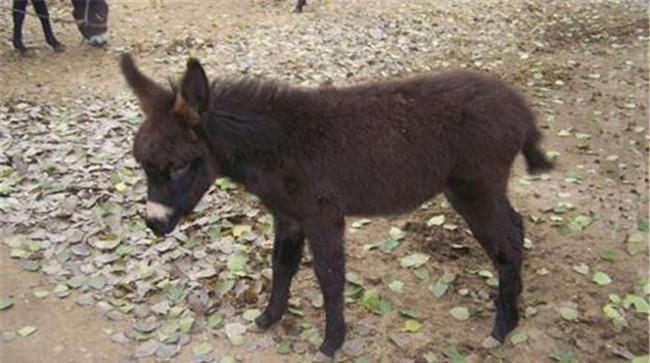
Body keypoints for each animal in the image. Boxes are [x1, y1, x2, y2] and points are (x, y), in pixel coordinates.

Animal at [119, 54, 548, 358]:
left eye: (179, 165)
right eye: (143, 166)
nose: (154, 225)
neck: (278, 147)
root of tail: (519, 106)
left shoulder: (322, 215)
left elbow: (329, 276)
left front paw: (331, 343)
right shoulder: (288, 215)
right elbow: (282, 265)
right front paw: (269, 317)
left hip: (473, 188)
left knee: (506, 243)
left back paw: (502, 328)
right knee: (516, 227)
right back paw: (515, 309)